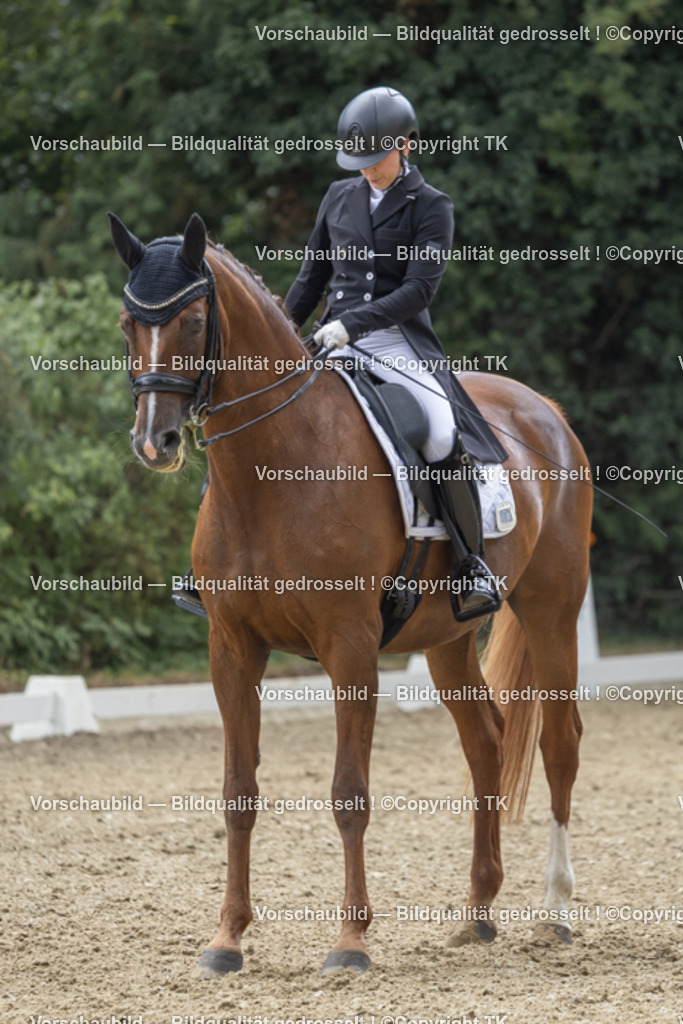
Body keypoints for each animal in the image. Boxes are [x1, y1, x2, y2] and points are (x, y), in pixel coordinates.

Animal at [109, 211, 592, 977]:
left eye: (193, 321)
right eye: (130, 321)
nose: (154, 443)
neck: (272, 467)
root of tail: (542, 408)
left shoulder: (351, 646)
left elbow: (348, 794)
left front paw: (350, 942)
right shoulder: (231, 647)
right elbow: (237, 793)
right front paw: (226, 940)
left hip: (552, 609)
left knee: (559, 742)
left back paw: (557, 910)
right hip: (448, 636)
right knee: (485, 741)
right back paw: (477, 912)